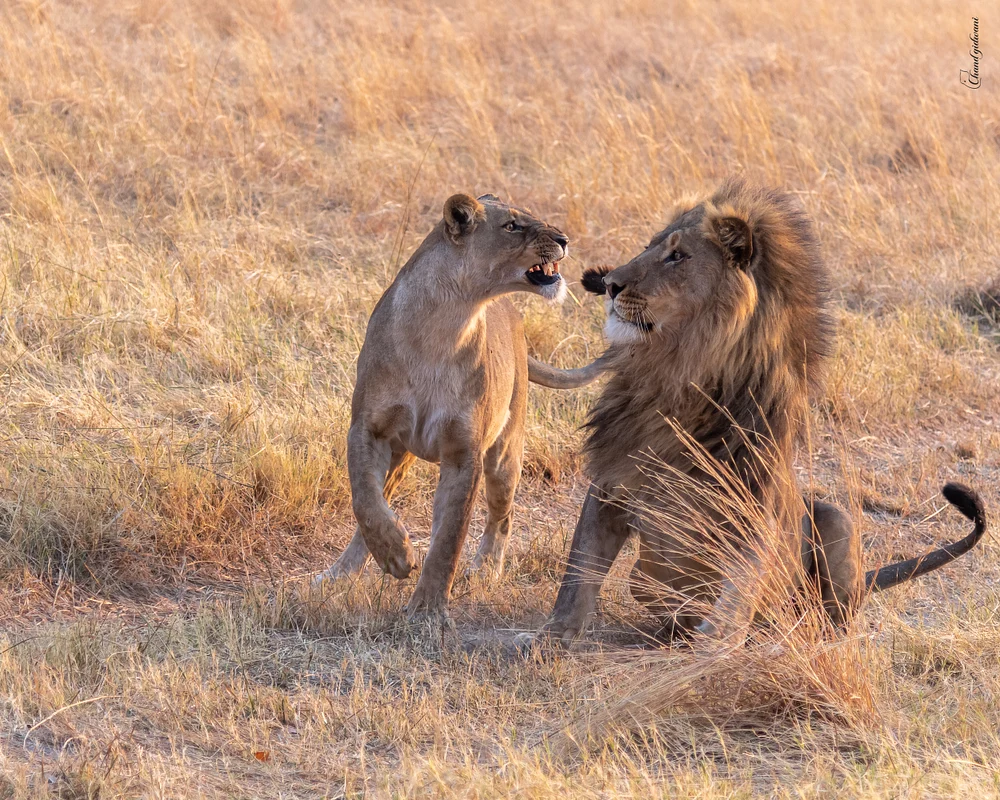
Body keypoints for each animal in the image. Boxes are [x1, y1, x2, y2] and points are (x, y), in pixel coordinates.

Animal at [313, 192, 606, 624]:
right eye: (512, 226)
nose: (564, 239)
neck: (445, 324)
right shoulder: (369, 428)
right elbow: (365, 500)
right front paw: (397, 556)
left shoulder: (463, 451)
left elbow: (449, 536)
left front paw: (427, 608)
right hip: (401, 453)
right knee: (377, 505)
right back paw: (341, 573)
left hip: (504, 454)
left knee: (502, 515)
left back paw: (486, 570)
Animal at [529, 178, 987, 647]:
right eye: (647, 247)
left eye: (677, 256)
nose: (609, 284)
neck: (679, 374)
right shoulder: (612, 478)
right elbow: (580, 569)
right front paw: (554, 635)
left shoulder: (753, 507)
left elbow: (737, 593)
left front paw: (712, 651)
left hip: (836, 520)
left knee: (830, 611)